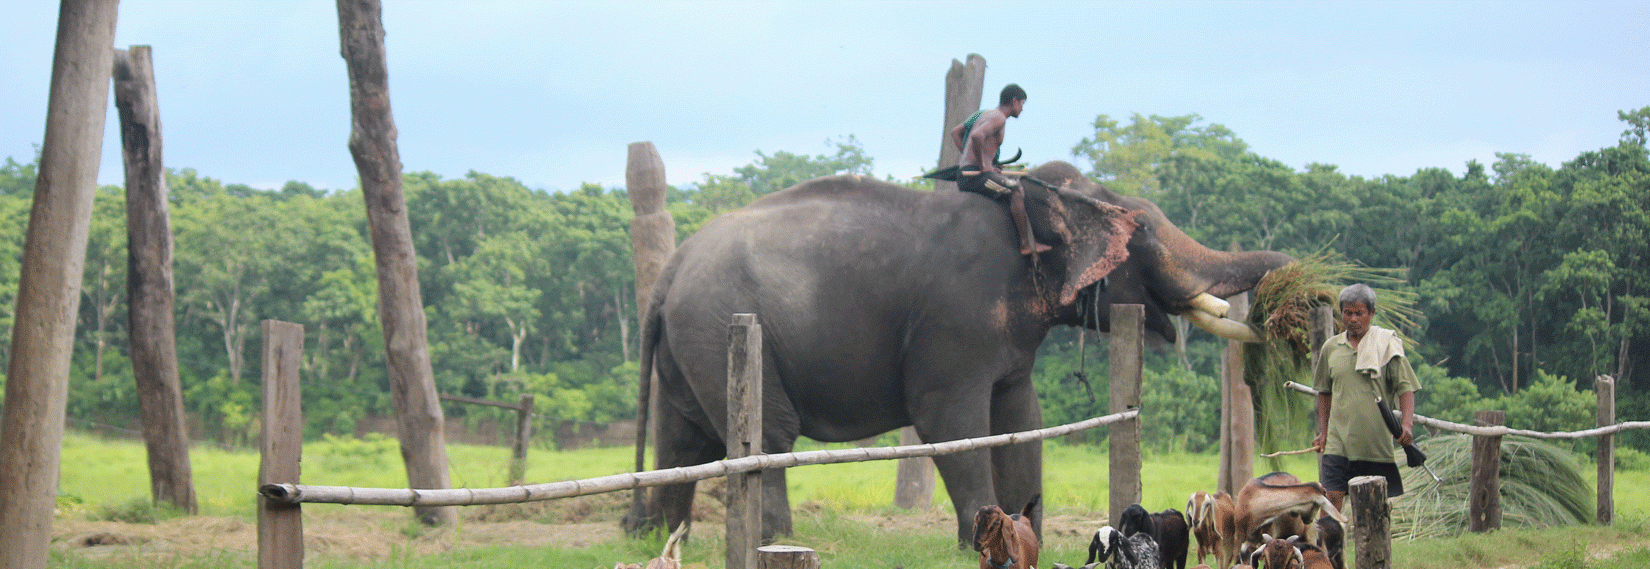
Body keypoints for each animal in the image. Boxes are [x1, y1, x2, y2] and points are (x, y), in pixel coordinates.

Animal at [623, 160, 1293, 544]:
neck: (1025, 201)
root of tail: (671, 269)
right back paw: (777, 540)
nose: (1293, 279)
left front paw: (1027, 538)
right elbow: (952, 421)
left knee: (682, 438)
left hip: (691, 341)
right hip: (723, 325)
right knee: (766, 435)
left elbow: (1020, 419)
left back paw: (661, 538)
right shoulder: (956, 319)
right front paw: (981, 542)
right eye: (1145, 231)